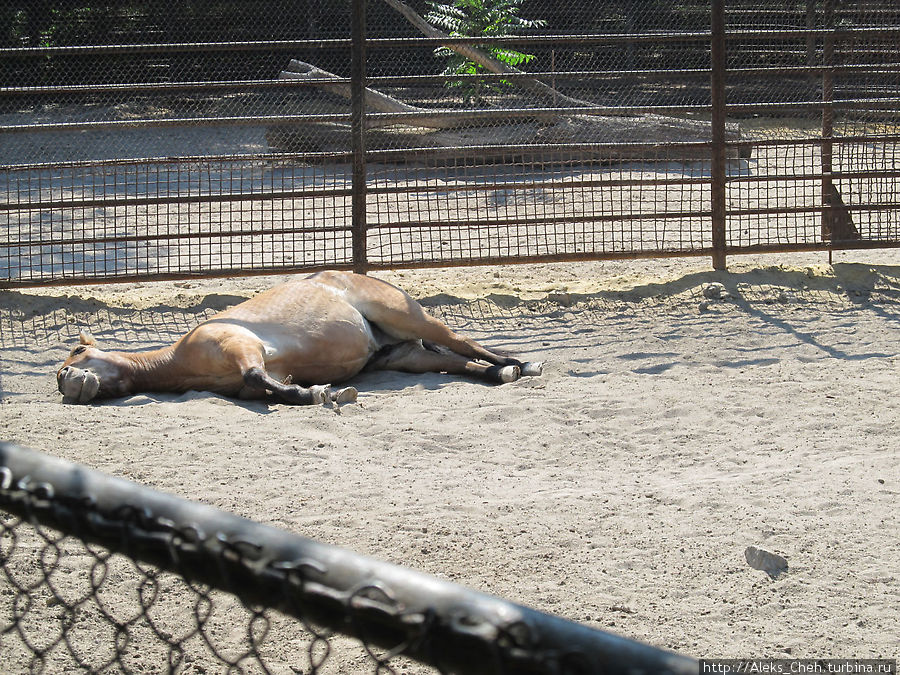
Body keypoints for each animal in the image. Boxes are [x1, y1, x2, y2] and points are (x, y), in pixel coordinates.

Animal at [59, 270, 544, 406]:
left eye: (77, 352)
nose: (64, 381)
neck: (180, 358)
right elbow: (266, 387)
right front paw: (318, 391)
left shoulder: (243, 348)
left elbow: (258, 378)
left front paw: (319, 394)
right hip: (404, 356)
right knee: (459, 361)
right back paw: (504, 373)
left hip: (411, 319)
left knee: (465, 344)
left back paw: (521, 363)